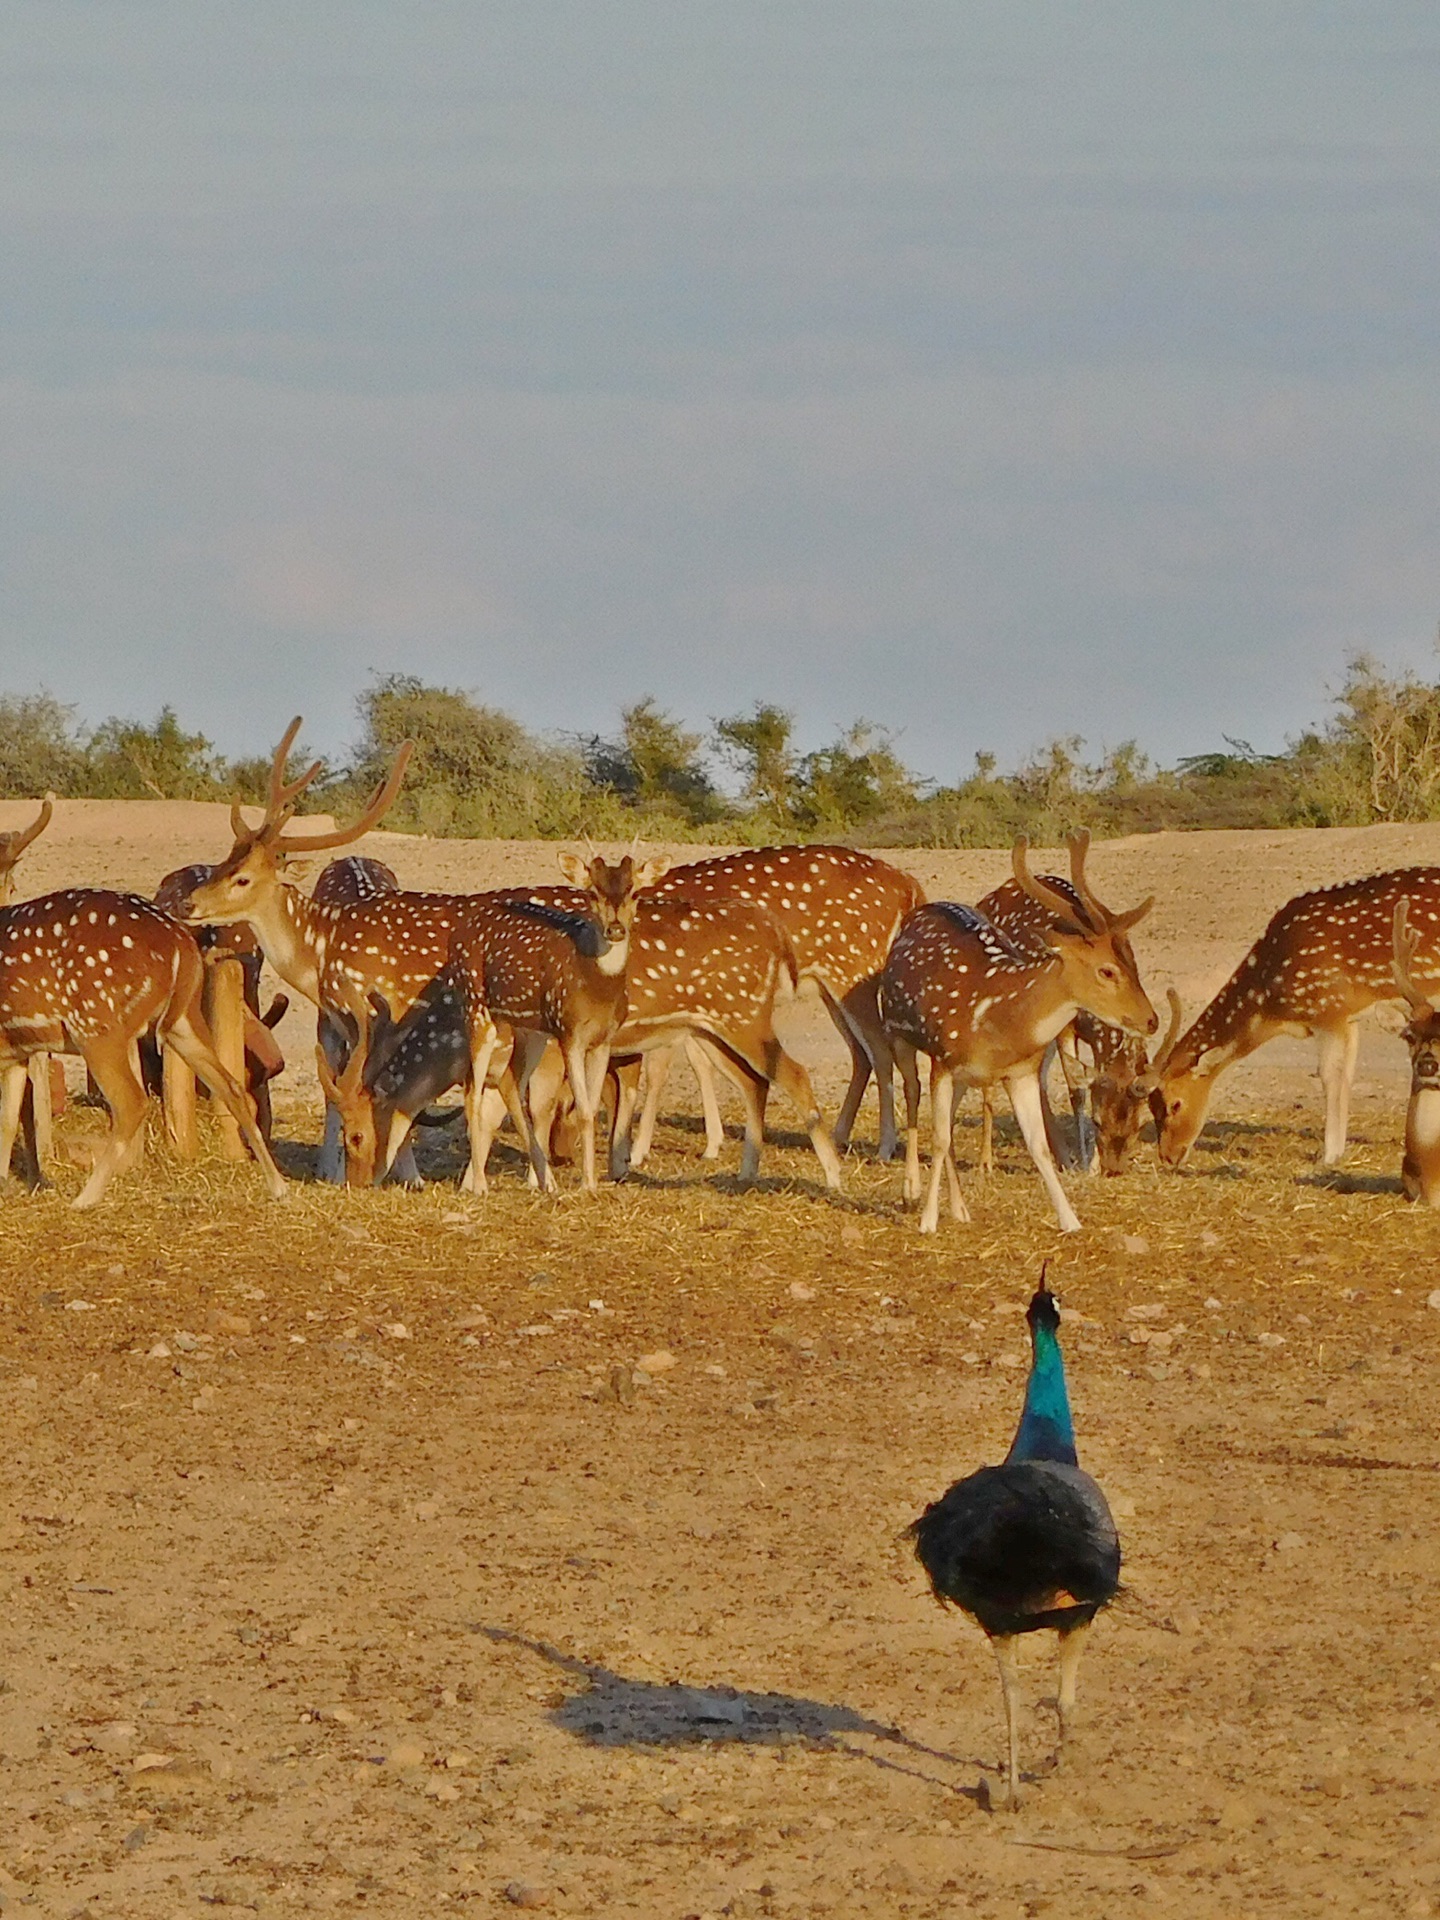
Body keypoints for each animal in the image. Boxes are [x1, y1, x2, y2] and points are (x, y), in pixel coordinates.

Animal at [879, 837, 1159, 1228]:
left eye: (1132, 963)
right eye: (1107, 971)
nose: (1151, 1020)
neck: (1000, 1020)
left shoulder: (1020, 1072)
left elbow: (1036, 1144)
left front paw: (1070, 1220)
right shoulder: (944, 1061)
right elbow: (939, 1138)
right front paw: (928, 1222)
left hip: (962, 1074)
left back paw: (960, 1208)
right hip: (897, 1030)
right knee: (912, 1092)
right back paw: (912, 1191)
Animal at [1152, 871, 1440, 1167]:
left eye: (1175, 1104)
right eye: (1151, 1108)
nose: (1168, 1156)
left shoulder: (1327, 1008)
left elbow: (1329, 1077)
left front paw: (1329, 1156)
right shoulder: (1349, 1014)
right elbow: (1346, 1076)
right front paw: (1338, 1152)